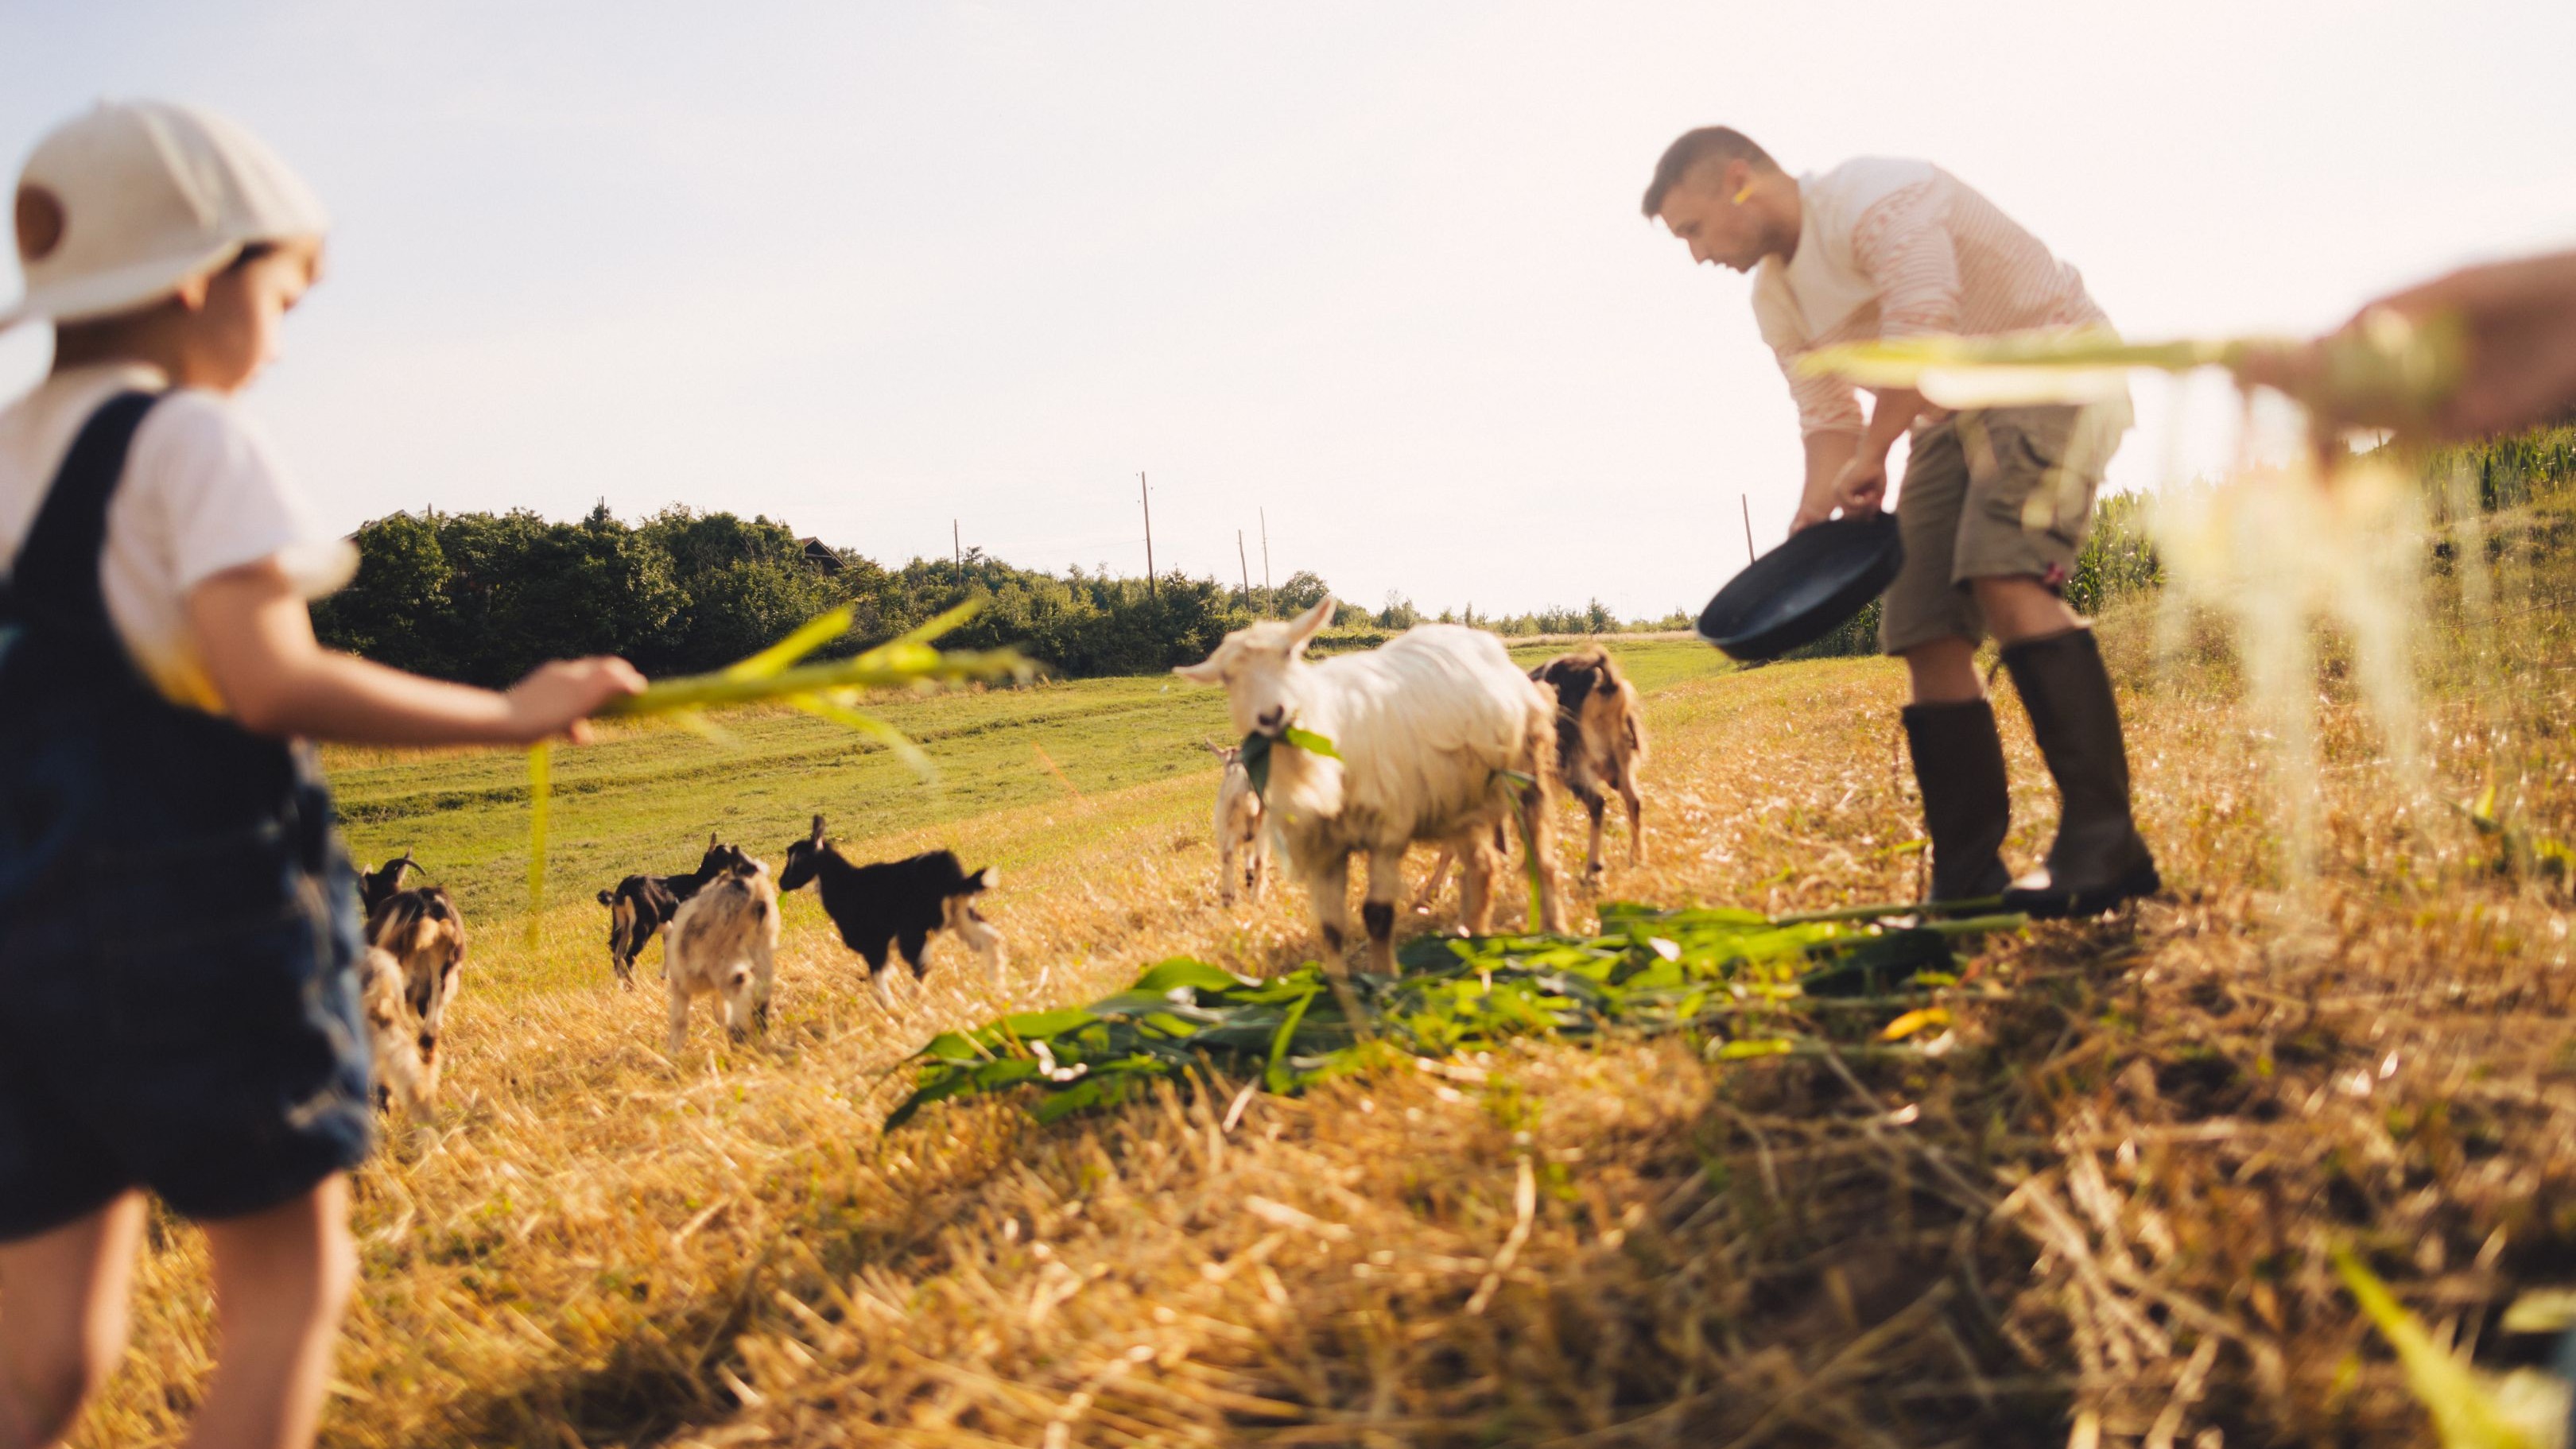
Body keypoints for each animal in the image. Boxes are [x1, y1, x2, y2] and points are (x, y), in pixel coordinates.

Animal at [1205, 741, 1267, 901]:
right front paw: (1249, 877)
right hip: (1262, 829)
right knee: (1260, 860)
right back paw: (1256, 897)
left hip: (1230, 828)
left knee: (1227, 857)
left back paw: (1228, 896)